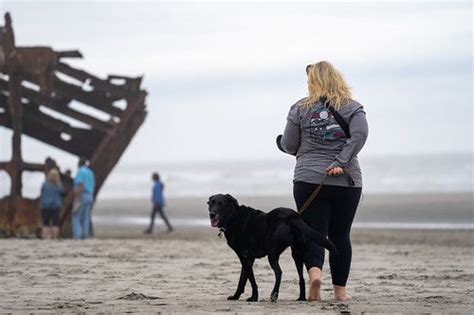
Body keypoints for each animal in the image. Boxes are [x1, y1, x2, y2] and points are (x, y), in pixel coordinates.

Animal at [208, 194, 336, 302]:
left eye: (221, 204)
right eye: (210, 203)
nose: (211, 214)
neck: (234, 217)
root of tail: (293, 217)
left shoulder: (243, 256)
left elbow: (251, 279)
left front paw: (254, 297)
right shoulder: (248, 258)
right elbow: (243, 279)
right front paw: (236, 296)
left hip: (272, 253)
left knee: (279, 272)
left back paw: (274, 294)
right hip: (297, 253)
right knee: (301, 277)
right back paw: (301, 298)